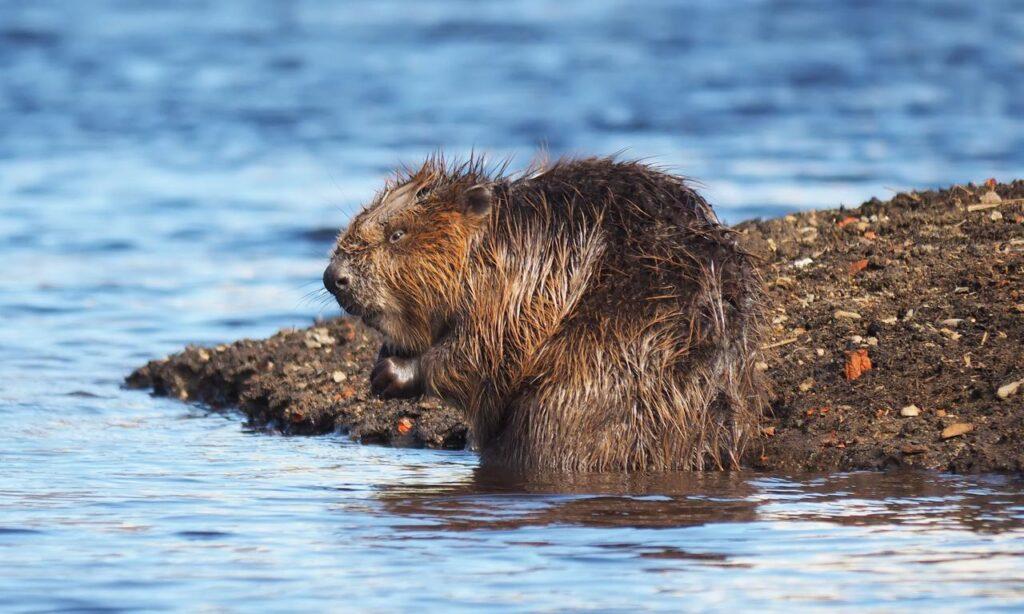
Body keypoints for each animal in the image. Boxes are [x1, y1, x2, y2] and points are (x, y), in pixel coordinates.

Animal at [323, 154, 765, 470]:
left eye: (398, 234)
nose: (333, 277)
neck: (502, 236)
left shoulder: (513, 291)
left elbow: (479, 355)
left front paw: (390, 373)